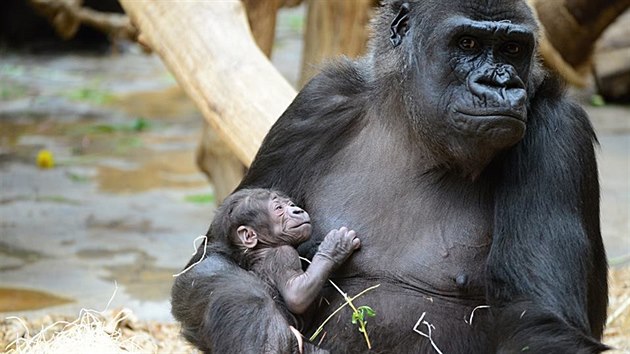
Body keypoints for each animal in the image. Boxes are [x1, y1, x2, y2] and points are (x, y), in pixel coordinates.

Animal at [214, 188, 362, 352]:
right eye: (279, 208)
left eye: (291, 205)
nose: (297, 210)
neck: (262, 248)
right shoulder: (283, 254)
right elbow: (296, 295)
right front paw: (334, 248)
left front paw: (315, 249)